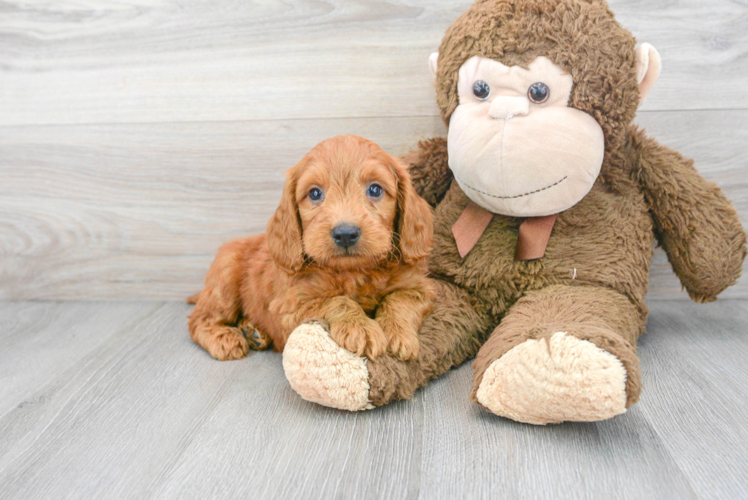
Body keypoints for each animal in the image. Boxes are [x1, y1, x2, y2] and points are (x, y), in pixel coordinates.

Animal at [187, 136, 436, 364]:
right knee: (198, 320)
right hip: (225, 279)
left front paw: (398, 334)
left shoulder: (422, 288)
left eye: (375, 189)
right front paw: (360, 328)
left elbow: (399, 299)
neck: (354, 272)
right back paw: (225, 337)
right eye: (315, 193)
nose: (345, 233)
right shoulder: (289, 308)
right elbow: (336, 300)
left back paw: (253, 331)